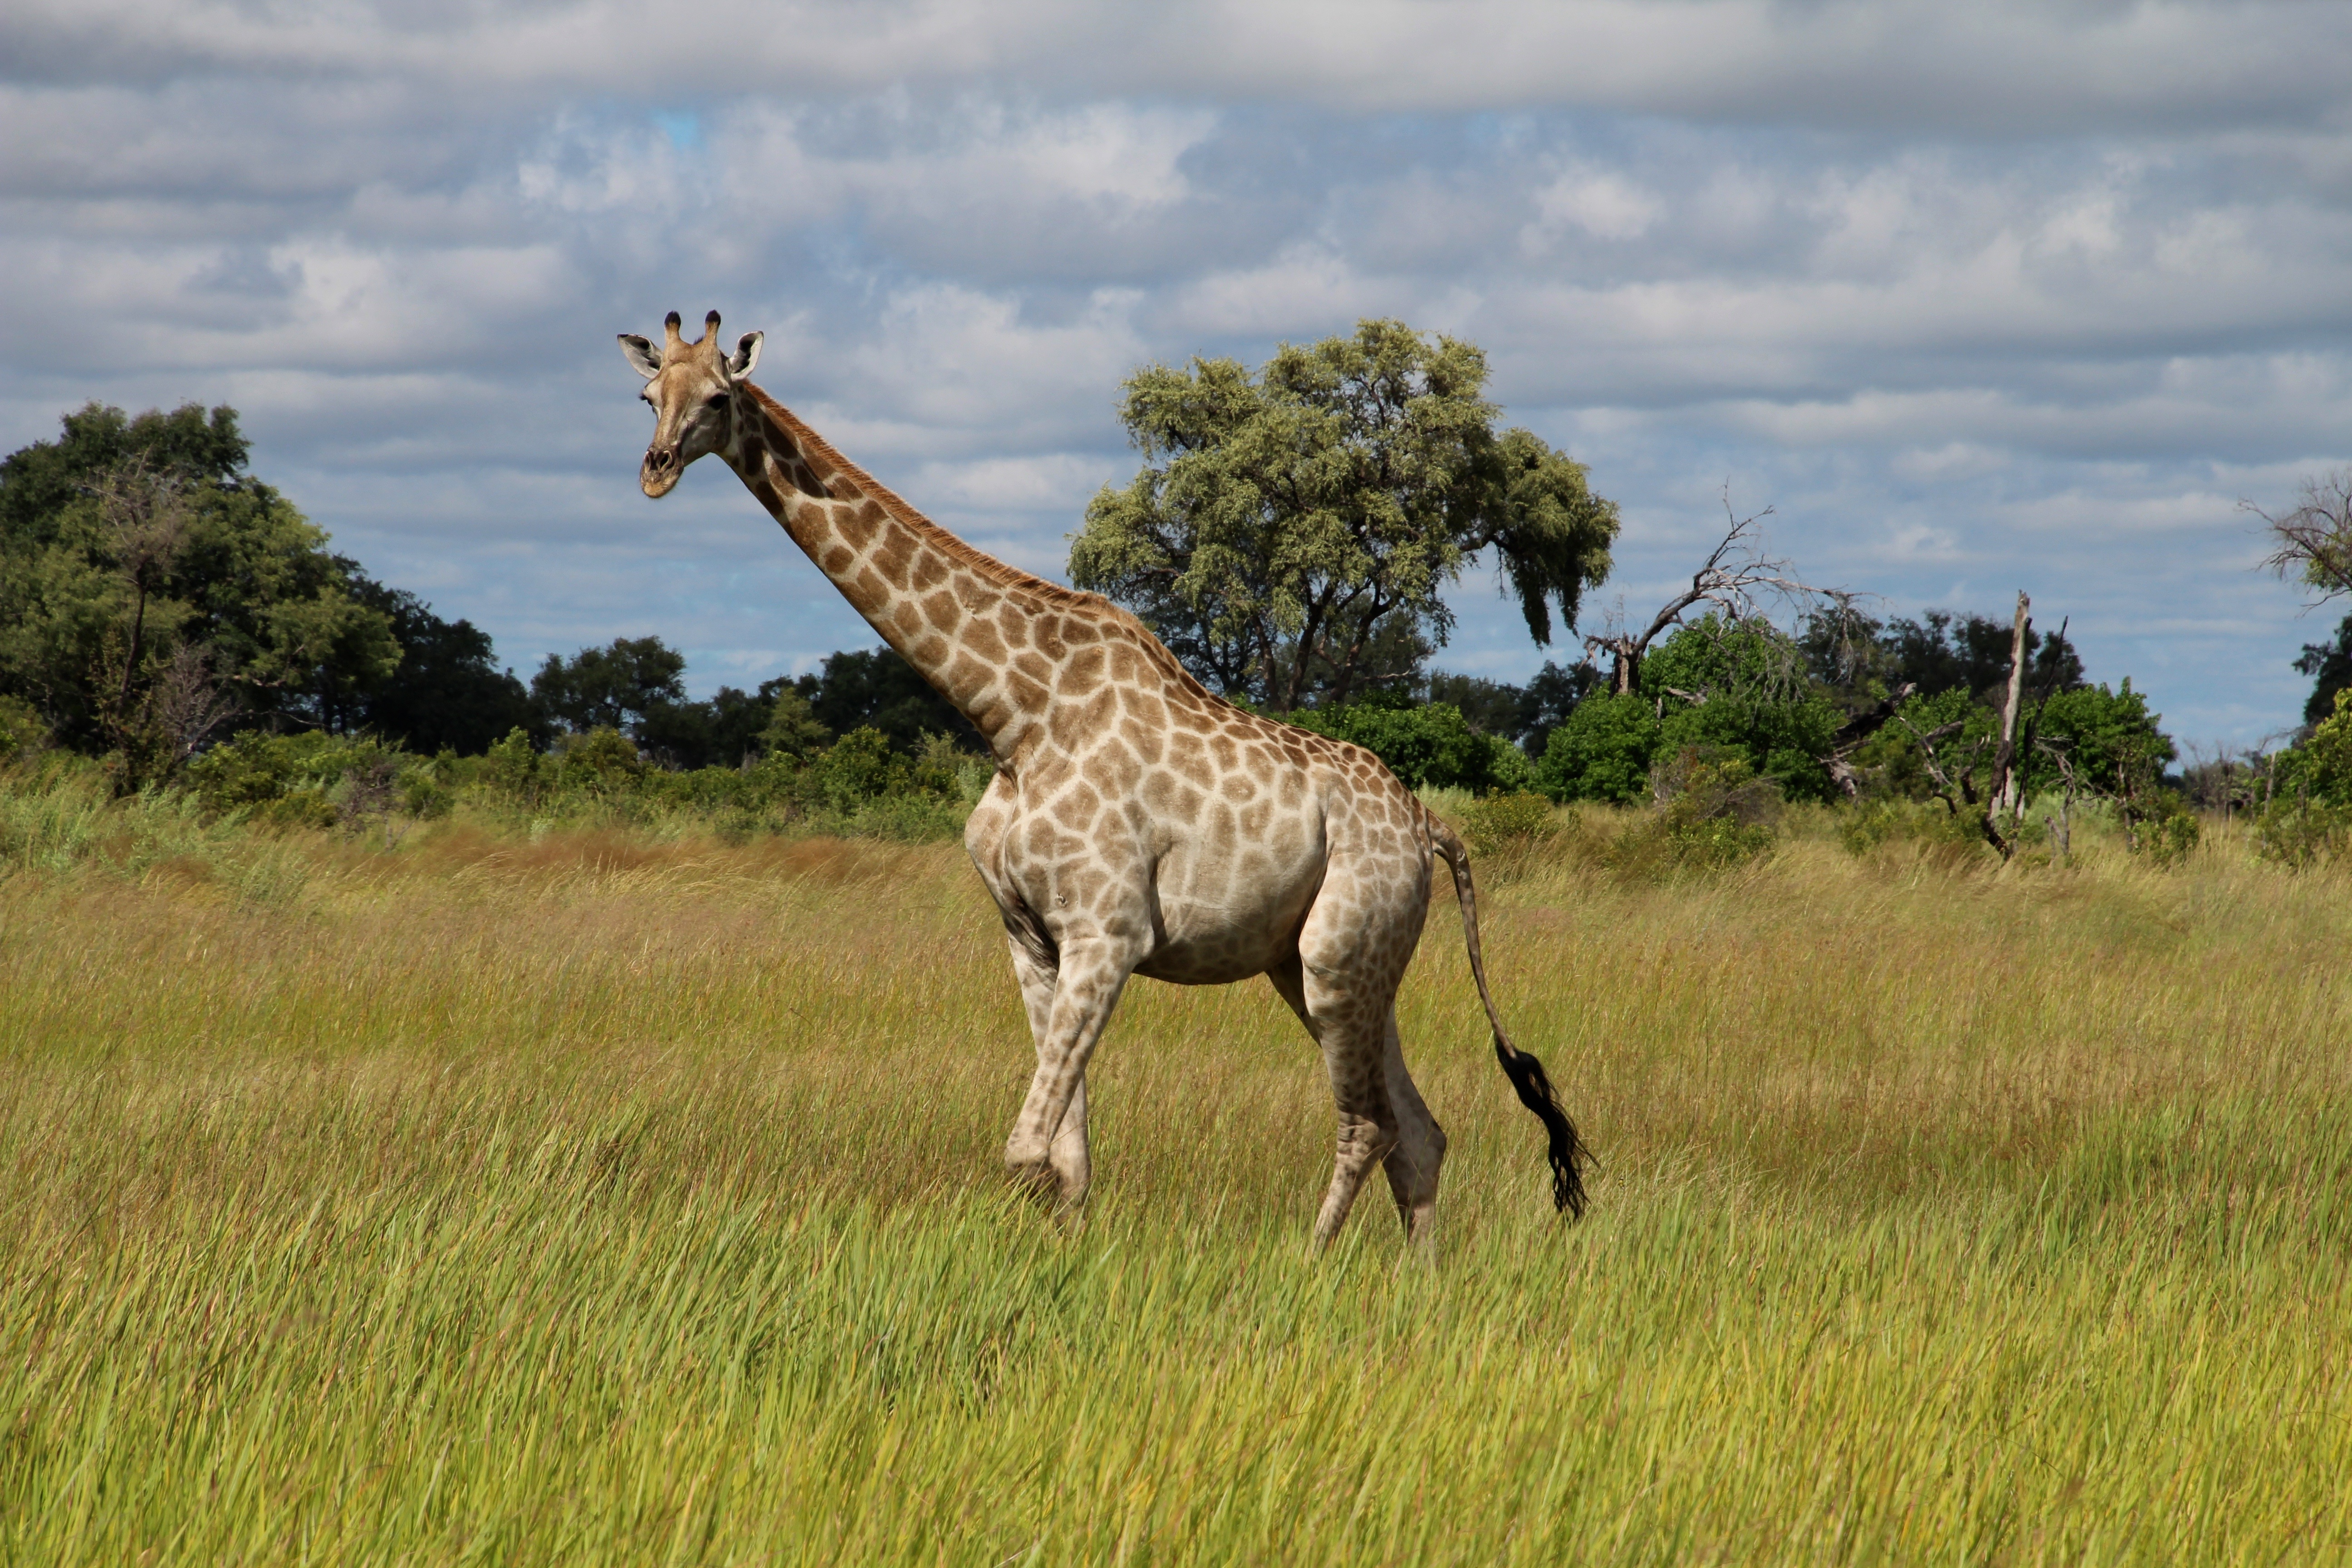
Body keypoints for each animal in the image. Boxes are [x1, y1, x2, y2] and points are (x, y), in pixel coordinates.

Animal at [616, 310, 1590, 1250]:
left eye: (716, 398)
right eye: (647, 395)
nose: (654, 471)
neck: (1015, 716)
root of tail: (1429, 826)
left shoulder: (1109, 932)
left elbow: (1024, 1153)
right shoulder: (1031, 939)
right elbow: (1067, 1159)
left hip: (1334, 959)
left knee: (1368, 1126)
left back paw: (1308, 1262)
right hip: (1334, 965)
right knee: (1419, 1134)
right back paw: (1416, 1280)